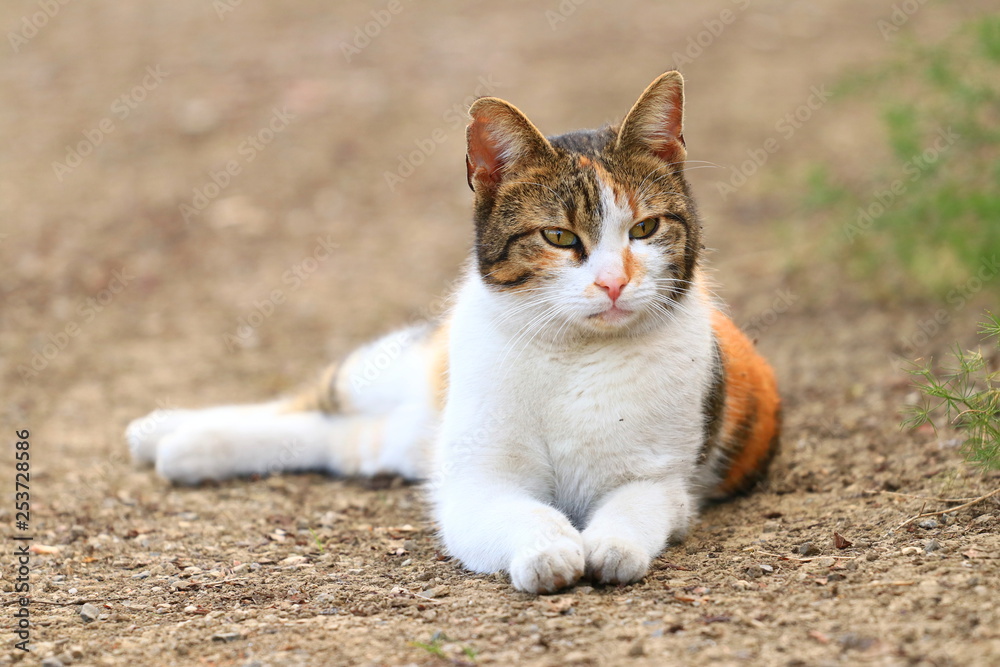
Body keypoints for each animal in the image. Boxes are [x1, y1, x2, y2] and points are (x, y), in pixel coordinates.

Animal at [125, 72, 780, 596]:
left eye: (644, 228)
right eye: (559, 237)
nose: (614, 283)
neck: (574, 357)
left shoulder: (659, 481)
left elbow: (632, 514)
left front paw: (608, 548)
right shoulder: (477, 481)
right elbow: (525, 516)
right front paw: (548, 551)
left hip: (394, 439)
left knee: (326, 437)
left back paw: (186, 449)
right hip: (394, 376)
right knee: (306, 400)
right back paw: (160, 429)